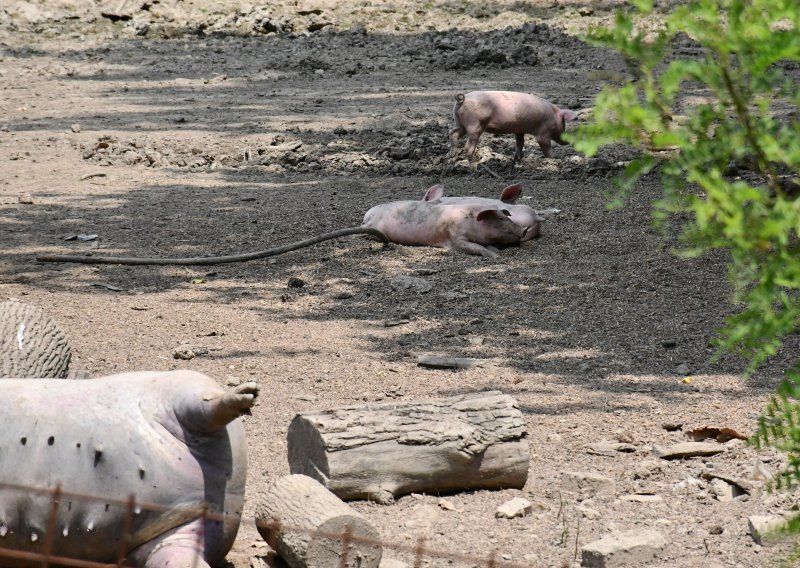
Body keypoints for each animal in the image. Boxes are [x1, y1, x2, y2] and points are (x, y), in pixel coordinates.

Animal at [364, 195, 524, 258]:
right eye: (500, 218)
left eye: (505, 216)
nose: (524, 230)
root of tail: (368, 217)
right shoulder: (455, 237)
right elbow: (473, 247)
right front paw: (495, 255)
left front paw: (496, 250)